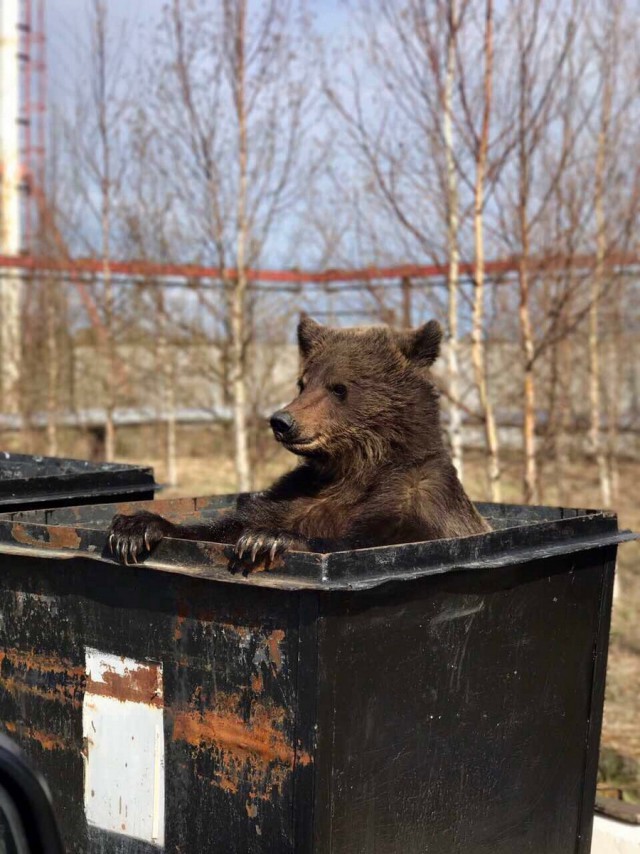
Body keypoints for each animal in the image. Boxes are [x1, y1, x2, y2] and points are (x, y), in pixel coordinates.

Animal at [109, 310, 490, 572]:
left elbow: (366, 541)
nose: (282, 421)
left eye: (339, 387)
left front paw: (266, 540)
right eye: (303, 382)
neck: (353, 466)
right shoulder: (299, 495)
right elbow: (224, 528)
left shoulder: (419, 500)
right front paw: (135, 527)